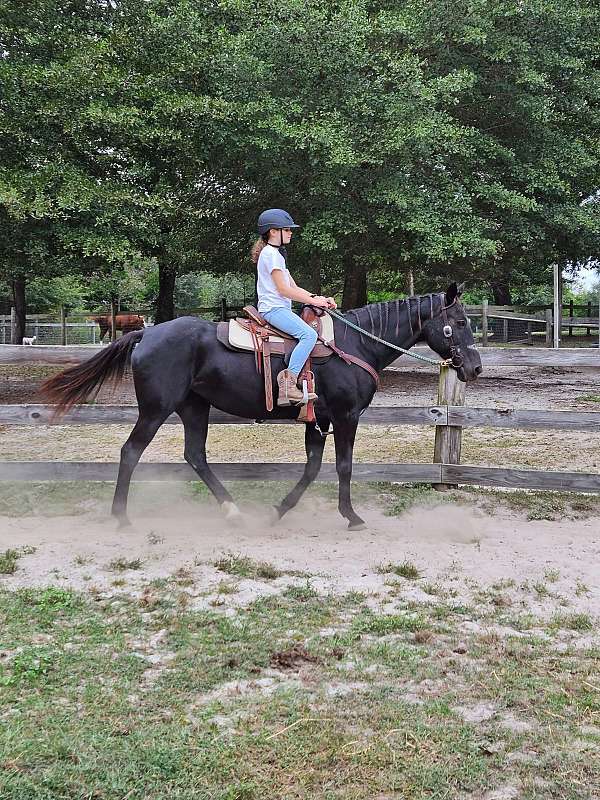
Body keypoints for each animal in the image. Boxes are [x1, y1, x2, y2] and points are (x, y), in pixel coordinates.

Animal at [41, 284, 482, 528]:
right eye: (459, 322)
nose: (475, 367)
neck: (355, 345)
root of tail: (145, 334)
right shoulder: (345, 416)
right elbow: (342, 466)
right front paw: (352, 516)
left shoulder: (319, 420)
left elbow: (312, 468)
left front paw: (279, 511)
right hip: (155, 410)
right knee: (131, 451)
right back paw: (121, 516)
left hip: (194, 408)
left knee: (195, 455)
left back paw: (233, 512)